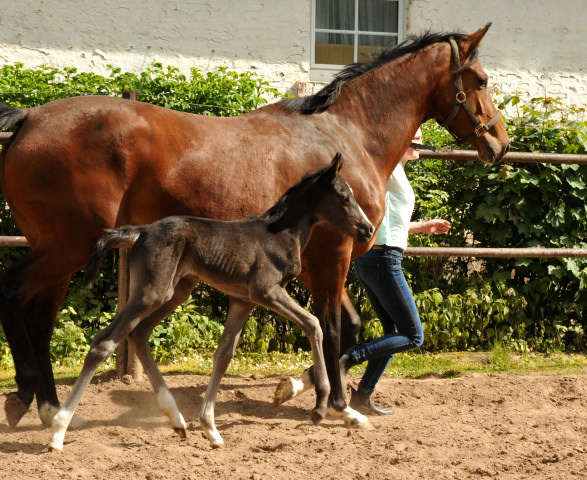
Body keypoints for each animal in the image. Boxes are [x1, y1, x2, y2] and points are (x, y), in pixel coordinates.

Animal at [48, 155, 374, 450]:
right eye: (345, 197)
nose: (368, 229)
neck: (281, 235)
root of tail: (141, 231)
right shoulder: (266, 291)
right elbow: (314, 324)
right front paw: (320, 407)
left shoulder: (243, 301)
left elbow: (223, 356)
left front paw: (210, 428)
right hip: (152, 292)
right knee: (104, 341)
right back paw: (58, 431)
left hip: (175, 291)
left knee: (138, 334)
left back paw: (177, 420)